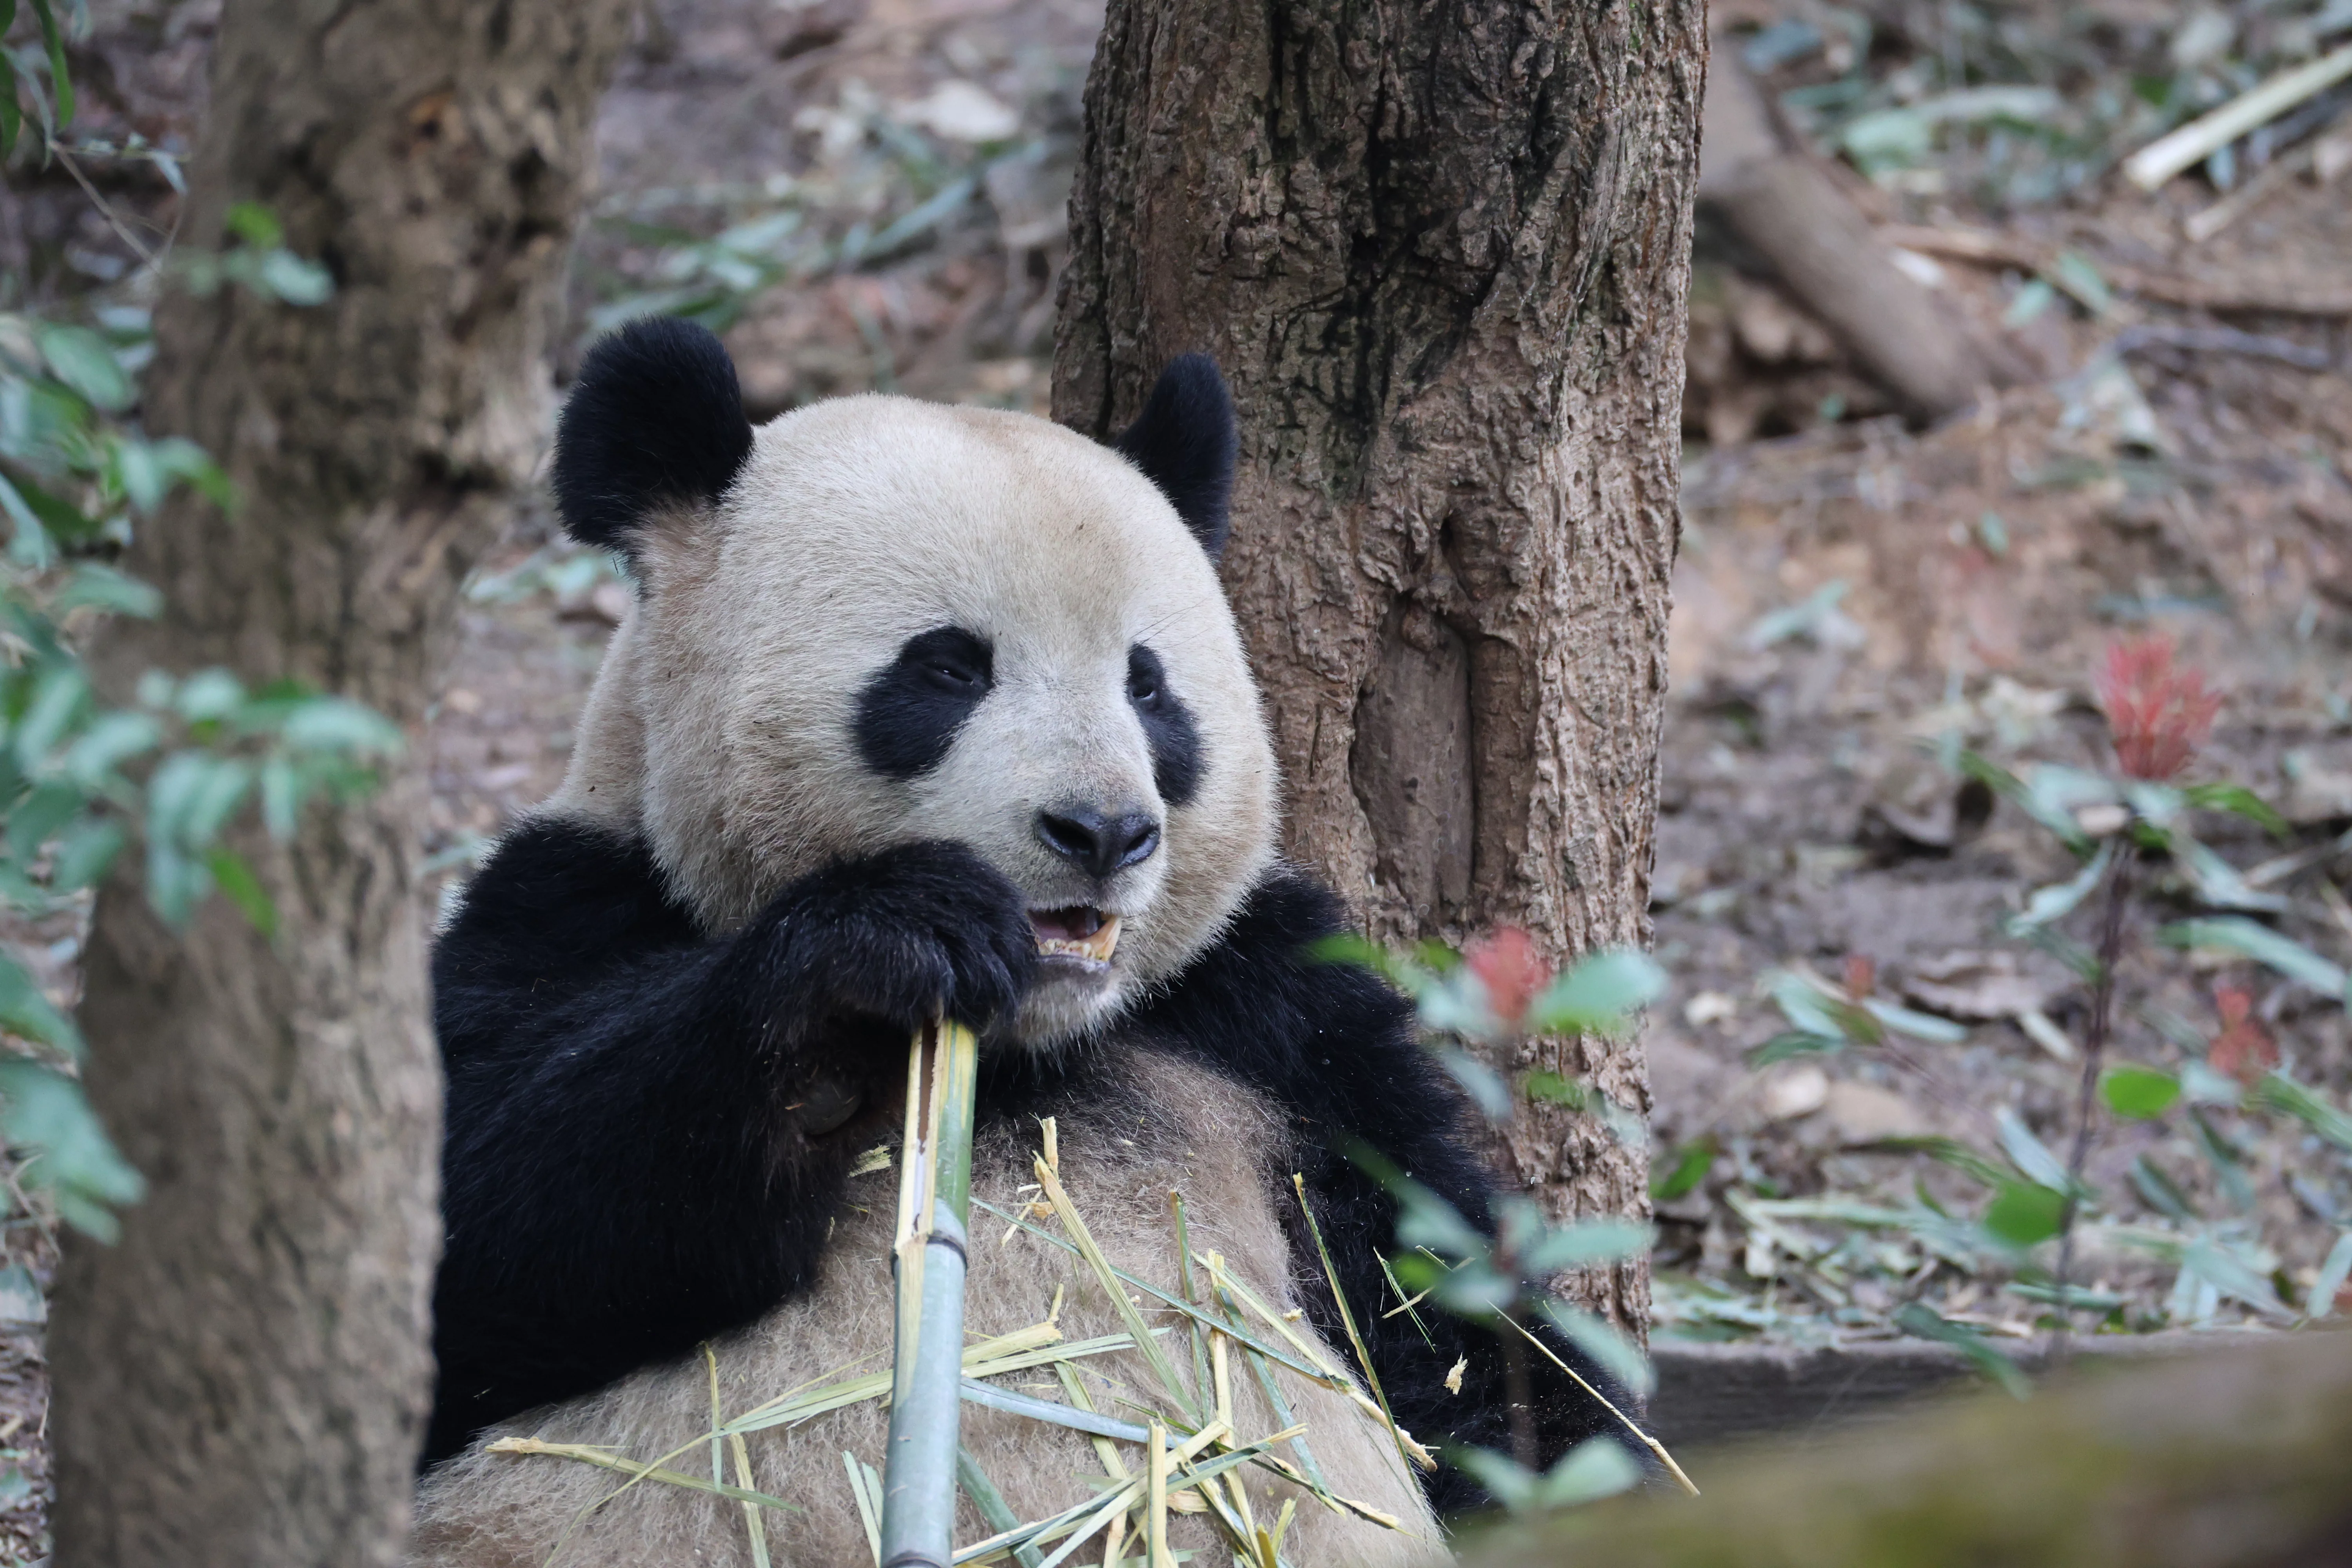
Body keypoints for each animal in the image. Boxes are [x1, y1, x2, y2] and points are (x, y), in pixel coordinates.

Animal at [410, 318, 1632, 1567]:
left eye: (1149, 687)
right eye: (949, 666)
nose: (1102, 831)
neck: (1028, 1040)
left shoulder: (1272, 1018)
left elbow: (1448, 1314)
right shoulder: (574, 904)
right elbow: (484, 1239)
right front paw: (876, 956)